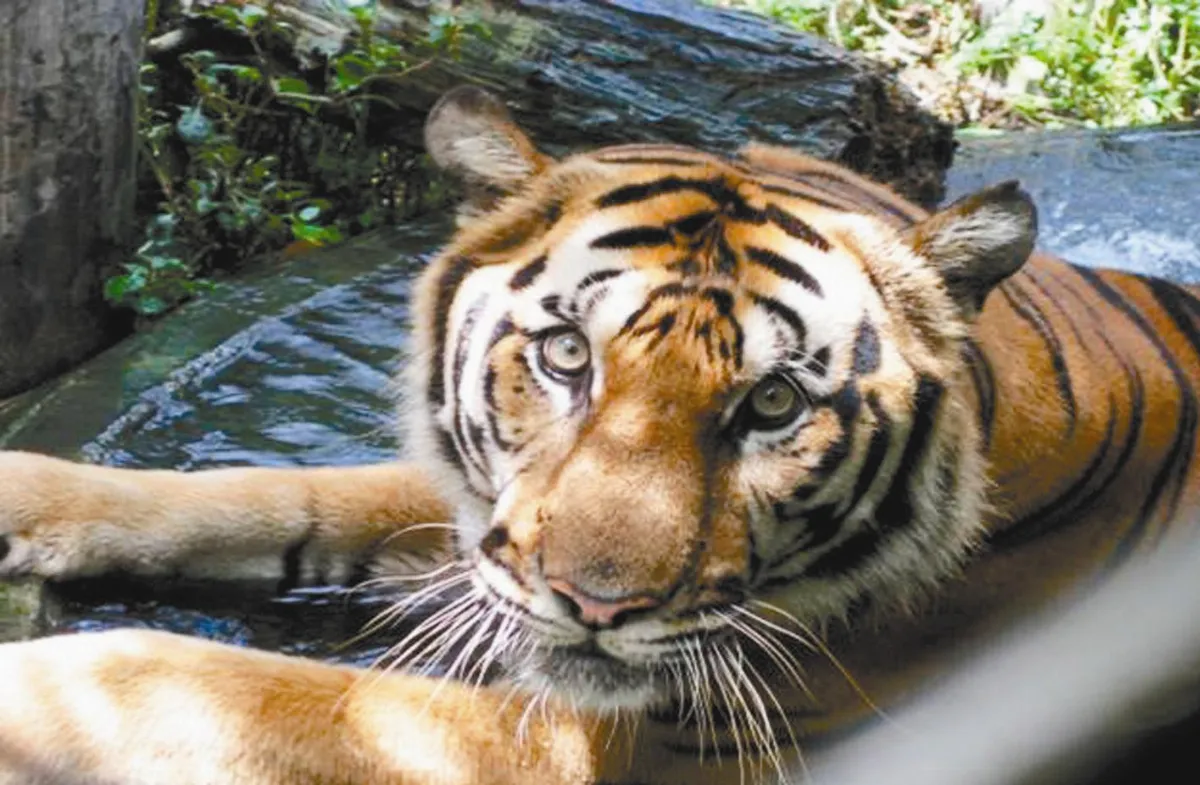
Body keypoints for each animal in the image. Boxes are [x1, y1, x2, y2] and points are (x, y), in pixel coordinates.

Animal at [1, 84, 1199, 785]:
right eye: (568, 354)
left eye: (774, 405)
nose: (595, 607)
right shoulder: (489, 536)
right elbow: (291, 493)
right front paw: (23, 492)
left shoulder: (612, 742)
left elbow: (255, 692)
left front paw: (37, 687)